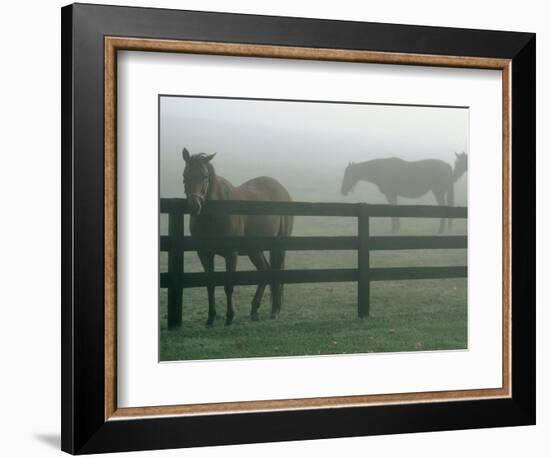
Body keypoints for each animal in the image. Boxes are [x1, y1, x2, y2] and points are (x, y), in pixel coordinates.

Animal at [182, 148, 296, 326]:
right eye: (185, 175)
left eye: (205, 176)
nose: (194, 206)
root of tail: (282, 190)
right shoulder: (204, 253)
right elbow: (210, 284)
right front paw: (210, 318)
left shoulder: (231, 253)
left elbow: (229, 285)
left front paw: (229, 317)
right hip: (254, 250)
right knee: (265, 271)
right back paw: (254, 310)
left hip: (278, 247)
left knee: (274, 273)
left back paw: (274, 311)